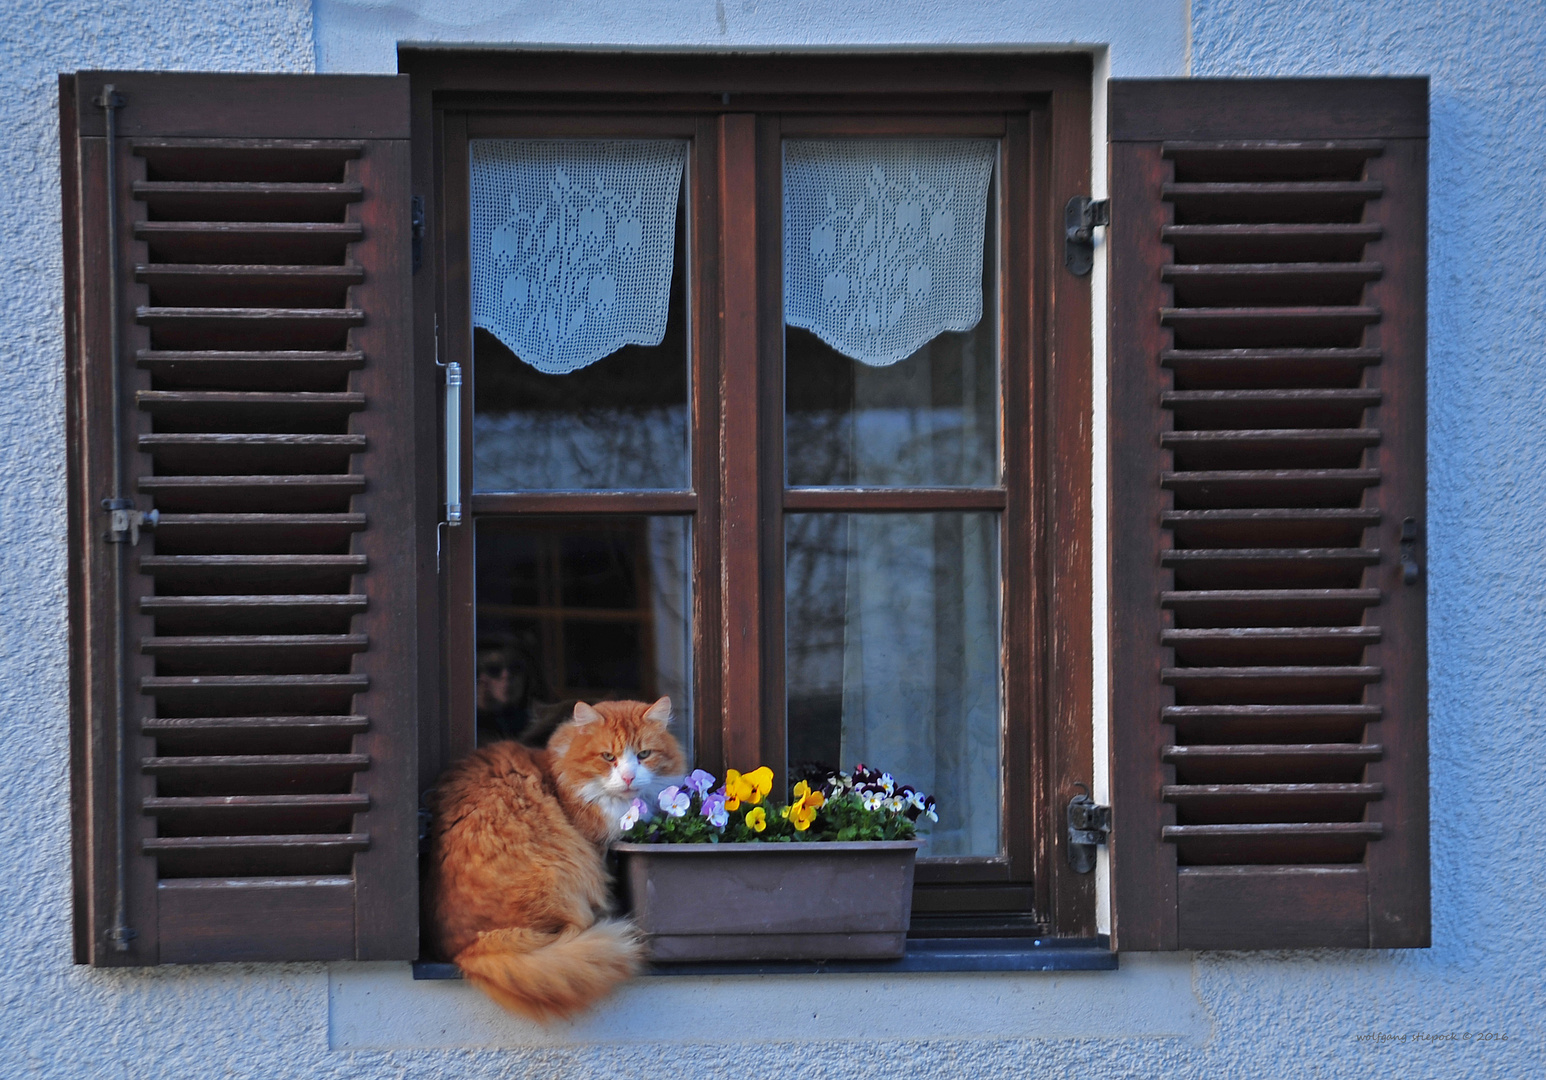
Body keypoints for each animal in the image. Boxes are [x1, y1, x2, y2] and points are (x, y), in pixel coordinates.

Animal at [426, 701, 686, 1019]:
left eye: (644, 755)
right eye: (608, 757)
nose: (628, 778)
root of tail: (466, 950)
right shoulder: (597, 850)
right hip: (565, 873)